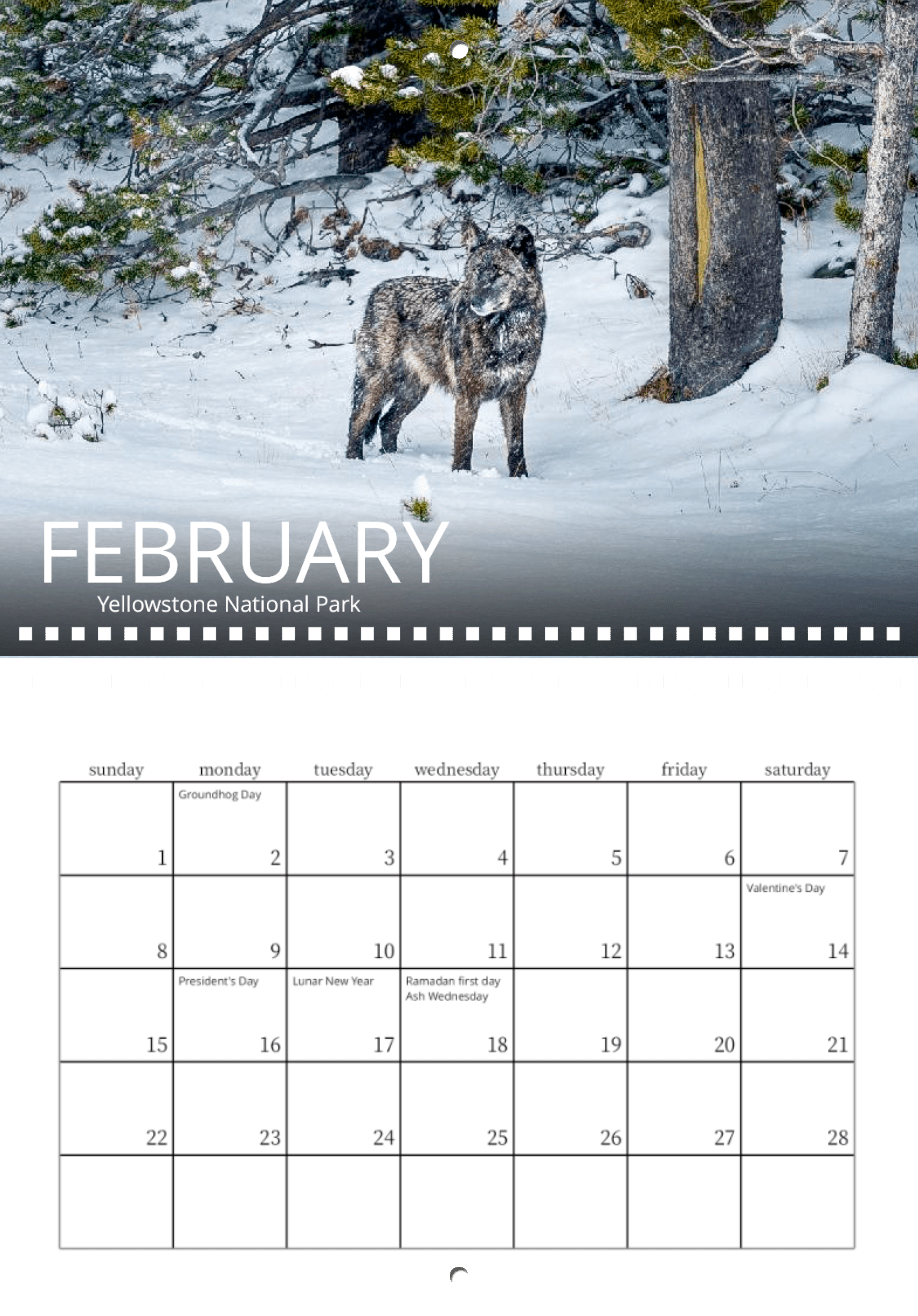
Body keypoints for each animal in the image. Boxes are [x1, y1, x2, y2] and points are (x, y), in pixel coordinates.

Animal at [346, 219, 546, 477]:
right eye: (475, 272)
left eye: (499, 272)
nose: (474, 302)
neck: (503, 333)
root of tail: (376, 291)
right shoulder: (467, 396)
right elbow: (464, 443)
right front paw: (461, 476)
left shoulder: (516, 392)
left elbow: (516, 443)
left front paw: (520, 478)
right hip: (379, 383)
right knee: (358, 420)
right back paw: (354, 462)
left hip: (413, 391)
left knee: (387, 422)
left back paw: (394, 462)